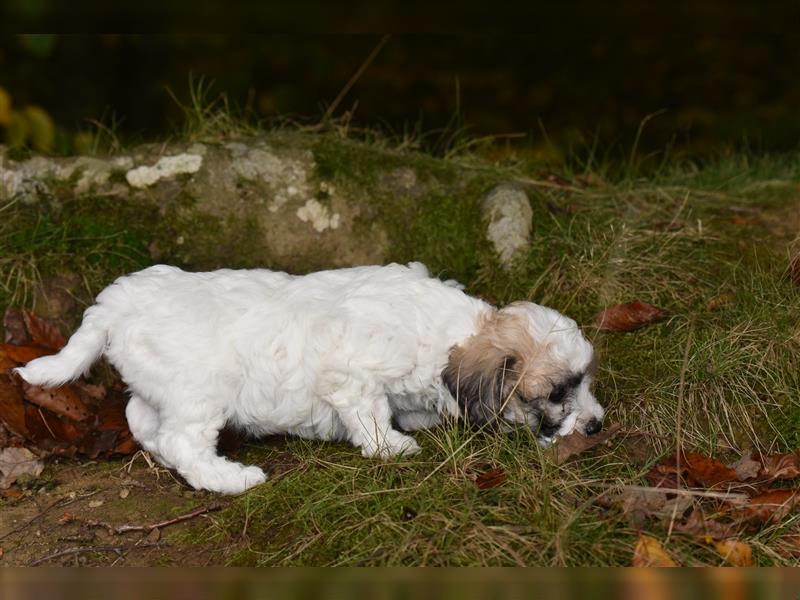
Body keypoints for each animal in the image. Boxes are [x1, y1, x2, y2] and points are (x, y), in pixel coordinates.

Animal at [15, 262, 604, 492]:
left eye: (585, 381)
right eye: (557, 392)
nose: (597, 426)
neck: (450, 334)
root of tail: (116, 304)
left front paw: (417, 421)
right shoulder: (353, 374)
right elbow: (371, 415)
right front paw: (392, 446)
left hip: (160, 385)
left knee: (143, 419)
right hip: (199, 394)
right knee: (182, 440)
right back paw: (231, 478)